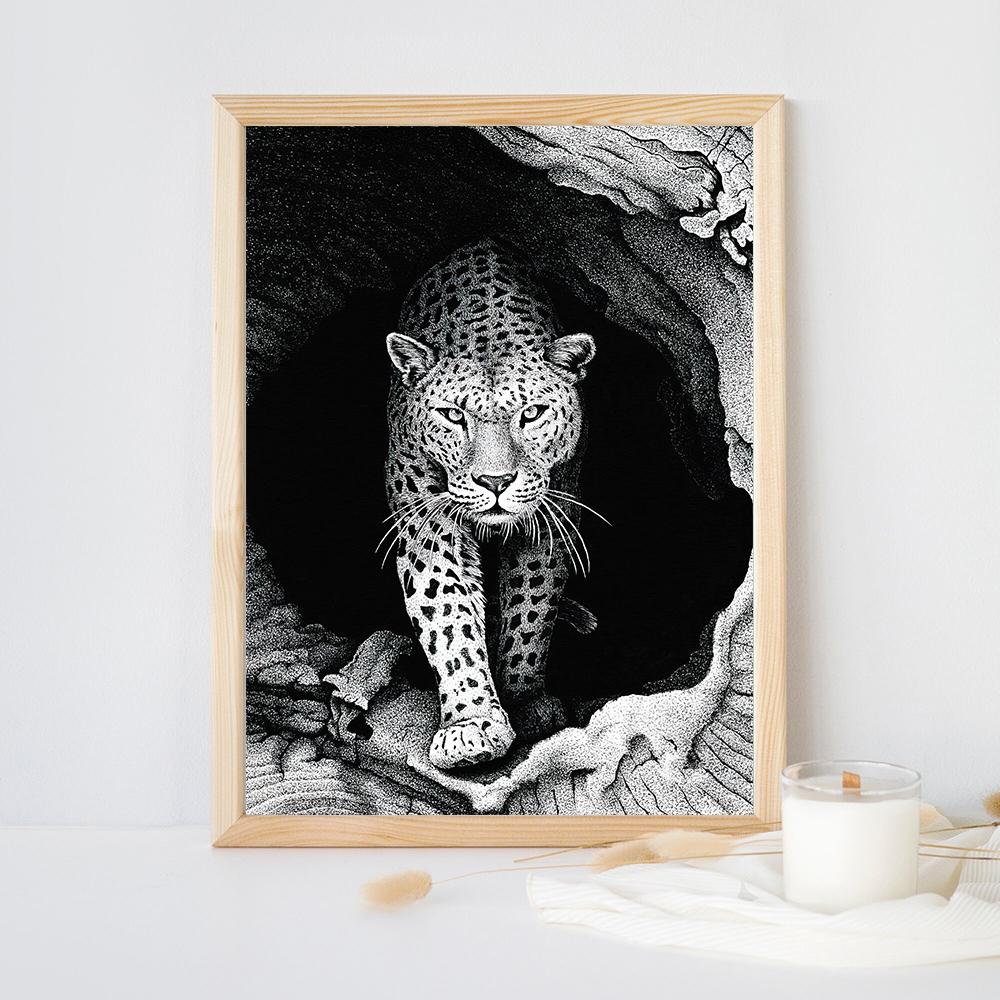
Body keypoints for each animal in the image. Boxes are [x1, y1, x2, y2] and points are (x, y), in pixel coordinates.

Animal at [381, 238, 600, 770]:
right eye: (452, 415)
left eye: (533, 413)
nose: (495, 481)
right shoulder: (429, 525)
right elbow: (448, 612)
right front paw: (471, 725)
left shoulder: (548, 519)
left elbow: (530, 608)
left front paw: (526, 701)